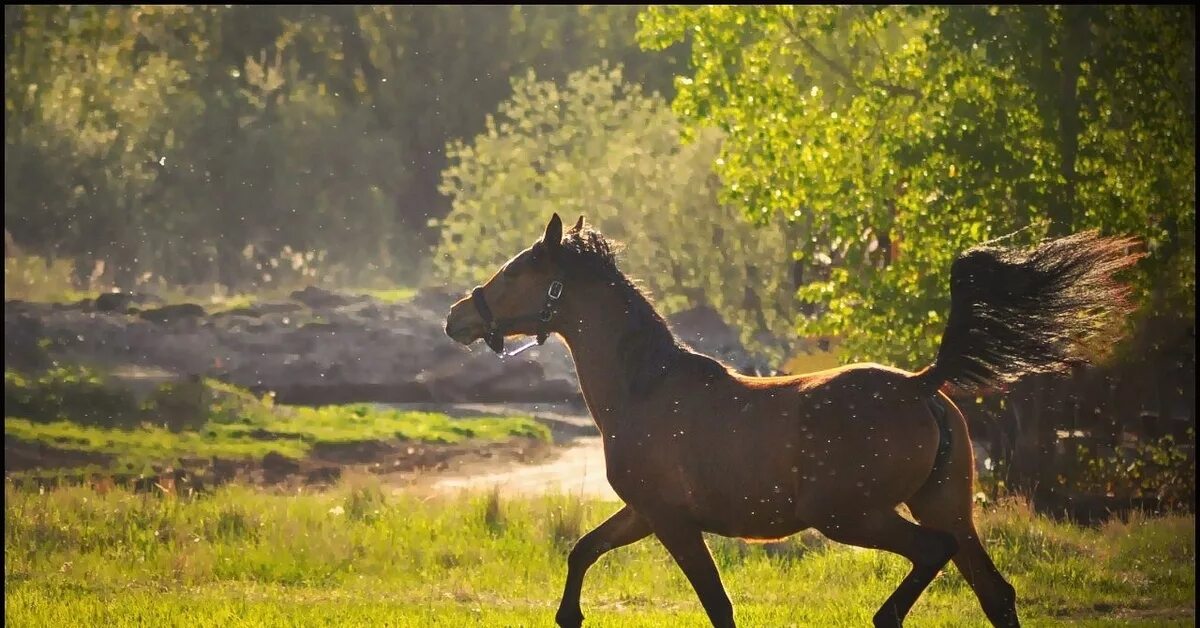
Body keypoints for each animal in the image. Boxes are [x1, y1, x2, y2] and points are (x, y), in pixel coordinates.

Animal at [444, 213, 1142, 624]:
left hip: (853, 517)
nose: (457, 318)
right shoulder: (644, 513)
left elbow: (718, 605)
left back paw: (883, 618)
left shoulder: (671, 521)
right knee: (995, 593)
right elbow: (583, 551)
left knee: (932, 558)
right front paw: (570, 615)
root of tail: (922, 386)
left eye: (513, 272)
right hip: (944, 506)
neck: (645, 388)